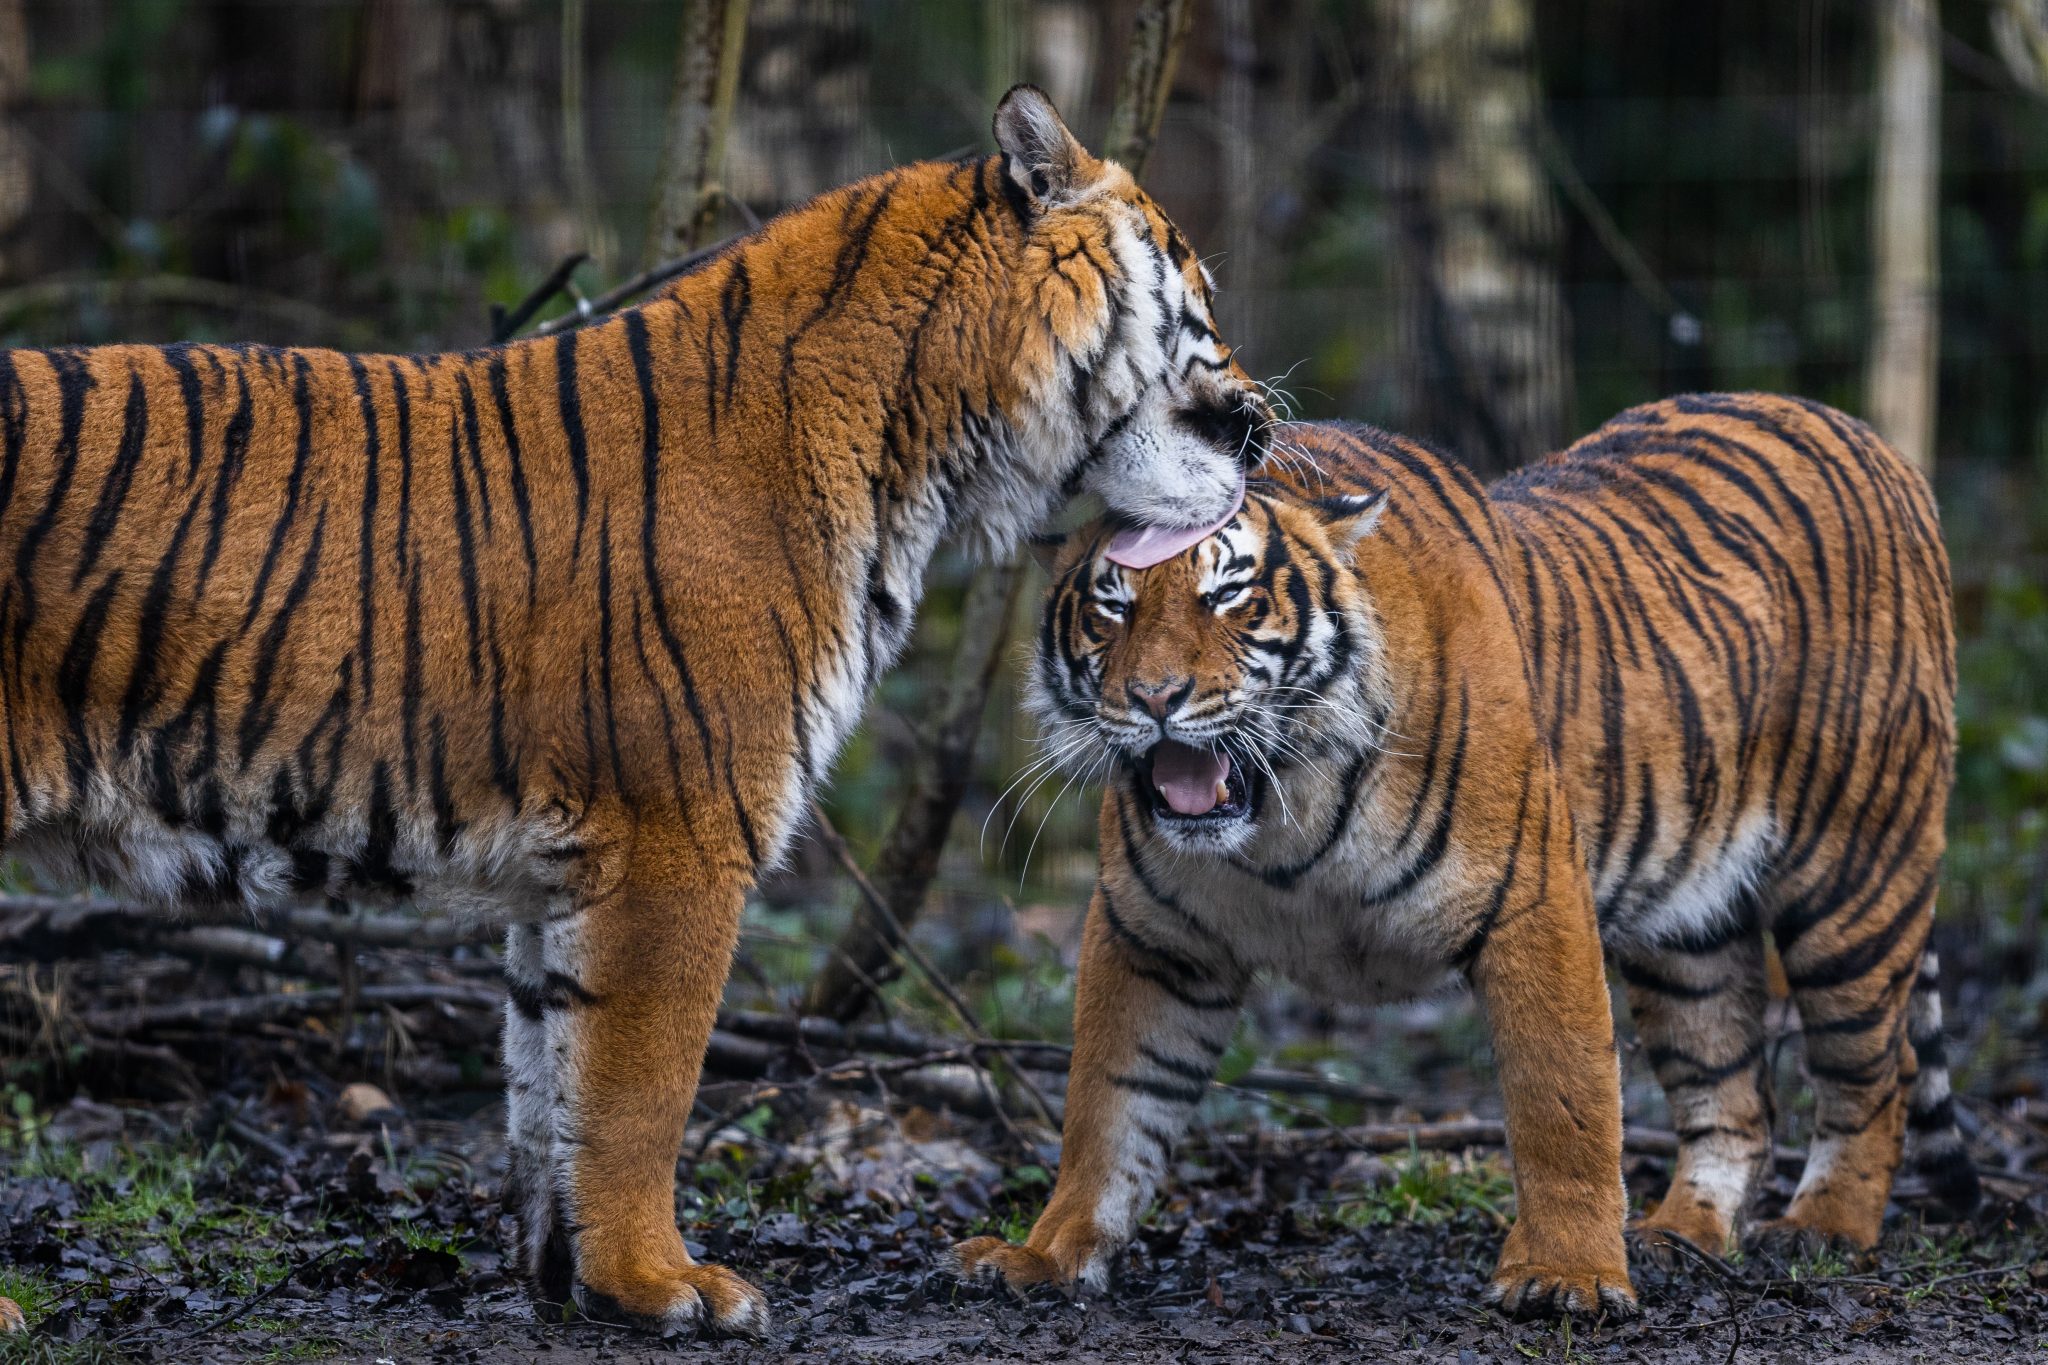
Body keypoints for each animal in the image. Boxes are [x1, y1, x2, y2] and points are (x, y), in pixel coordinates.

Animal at [0, 86, 1272, 1335]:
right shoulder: (680, 832)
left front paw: (571, 1280)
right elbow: (640, 1088)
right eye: (1194, 301)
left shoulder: (565, 872)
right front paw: (662, 1283)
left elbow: (550, 1080)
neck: (926, 449)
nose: (1259, 426)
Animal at [952, 396, 1979, 1317]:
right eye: (1111, 607)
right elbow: (1108, 1105)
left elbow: (1562, 1099)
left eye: (1228, 593)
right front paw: (1044, 1253)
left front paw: (1568, 1276)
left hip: (1853, 879)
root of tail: (1866, 439)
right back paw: (1681, 1232)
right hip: (1688, 926)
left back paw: (1824, 1227)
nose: (1156, 698)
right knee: (1733, 1094)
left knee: (1873, 1073)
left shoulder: (1532, 898)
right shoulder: (1153, 936)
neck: (1285, 816)